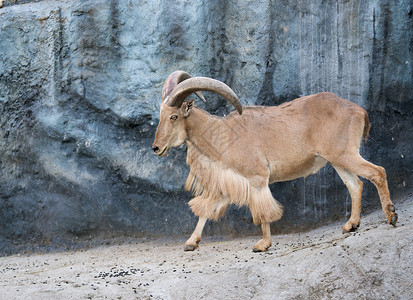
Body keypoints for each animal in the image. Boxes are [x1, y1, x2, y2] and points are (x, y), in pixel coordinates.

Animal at [151, 71, 396, 252]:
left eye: (174, 117)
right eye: (161, 115)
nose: (156, 148)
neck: (222, 134)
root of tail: (359, 110)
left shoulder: (257, 177)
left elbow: (263, 211)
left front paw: (263, 244)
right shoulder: (228, 181)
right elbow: (206, 209)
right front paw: (191, 243)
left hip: (345, 154)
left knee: (378, 172)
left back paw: (391, 216)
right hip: (337, 160)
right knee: (356, 185)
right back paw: (351, 225)